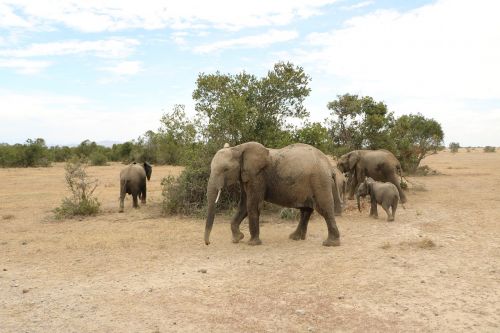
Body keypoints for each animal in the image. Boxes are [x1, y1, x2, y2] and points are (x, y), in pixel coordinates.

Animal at [204, 141, 344, 245]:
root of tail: (329, 166)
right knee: (306, 210)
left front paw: (252, 243)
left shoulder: (257, 176)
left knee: (324, 208)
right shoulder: (246, 175)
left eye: (225, 169)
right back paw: (295, 237)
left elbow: (252, 204)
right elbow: (243, 205)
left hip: (319, 181)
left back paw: (330, 243)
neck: (238, 148)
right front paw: (237, 239)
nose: (208, 243)